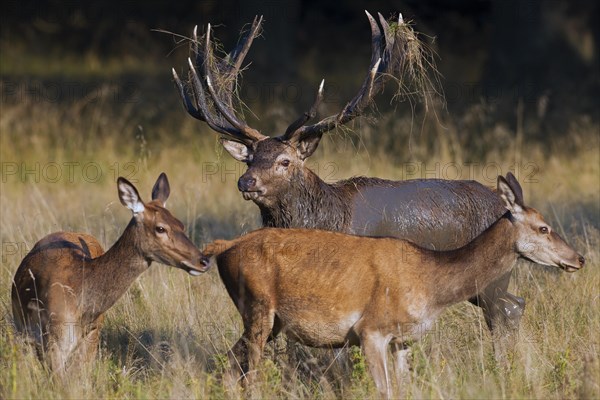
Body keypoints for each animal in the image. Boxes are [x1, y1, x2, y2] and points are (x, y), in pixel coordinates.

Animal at [204, 173, 584, 398]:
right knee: (249, 374)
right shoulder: (370, 330)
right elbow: (384, 391)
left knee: (230, 365)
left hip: (268, 322)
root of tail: (224, 247)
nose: (579, 258)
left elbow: (404, 390)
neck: (429, 284)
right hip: (258, 308)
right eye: (543, 228)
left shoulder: (405, 339)